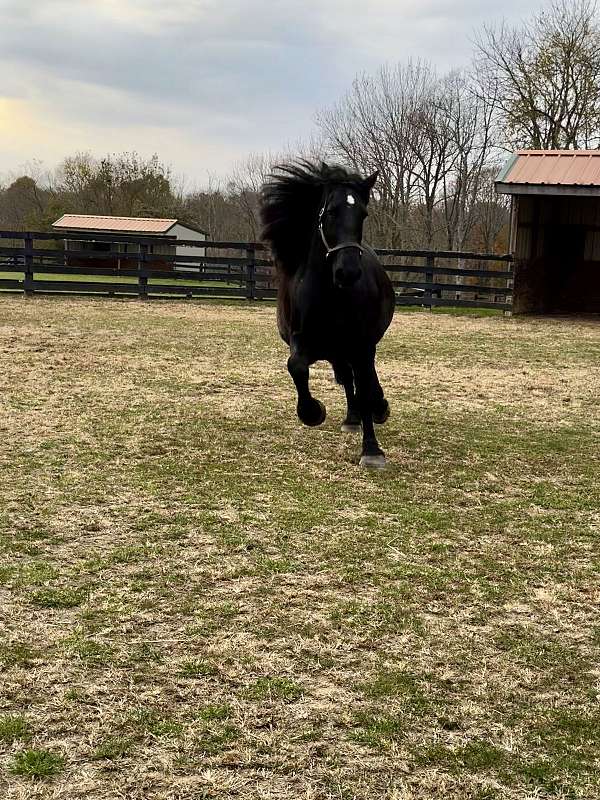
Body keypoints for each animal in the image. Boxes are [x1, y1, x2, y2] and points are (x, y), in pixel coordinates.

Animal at [260, 161, 396, 468]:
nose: (348, 272)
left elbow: (366, 387)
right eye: (331, 212)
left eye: (363, 214)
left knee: (362, 379)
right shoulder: (301, 341)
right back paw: (352, 418)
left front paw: (372, 450)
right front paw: (312, 412)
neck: (329, 295)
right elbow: (296, 367)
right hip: (337, 351)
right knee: (348, 379)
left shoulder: (361, 344)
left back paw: (376, 409)